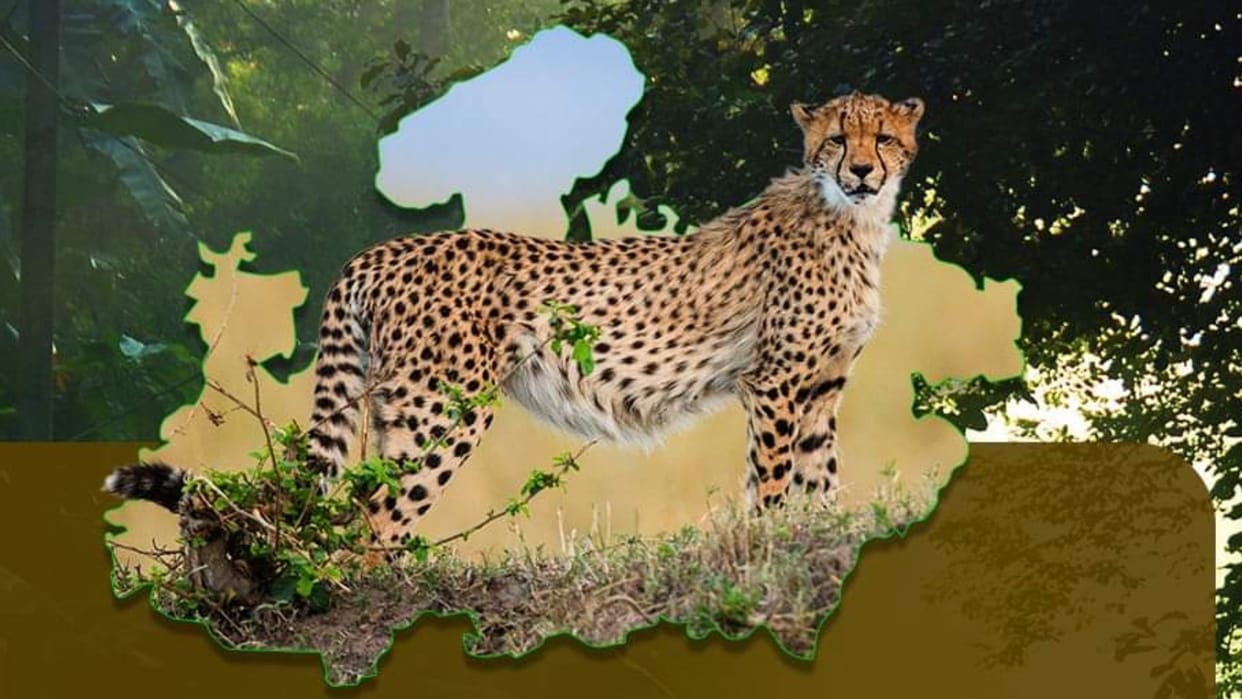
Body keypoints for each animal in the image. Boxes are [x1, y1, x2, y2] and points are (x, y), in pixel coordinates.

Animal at [105, 91, 925, 551]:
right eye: (836, 139)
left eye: (883, 138)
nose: (861, 170)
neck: (850, 218)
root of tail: (380, 248)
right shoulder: (775, 383)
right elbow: (775, 479)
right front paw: (767, 547)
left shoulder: (819, 388)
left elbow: (820, 477)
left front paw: (815, 539)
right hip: (442, 410)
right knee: (375, 514)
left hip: (395, 407)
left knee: (361, 501)